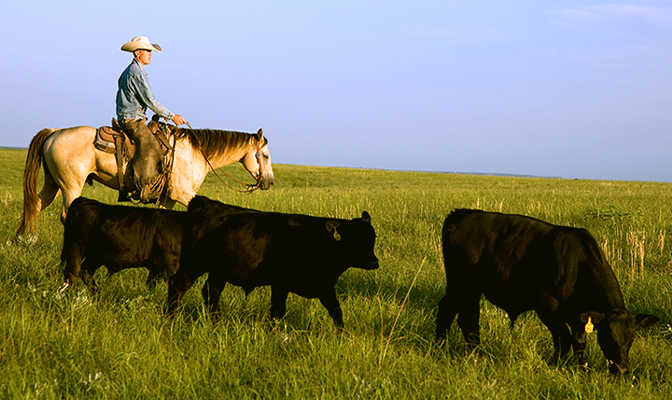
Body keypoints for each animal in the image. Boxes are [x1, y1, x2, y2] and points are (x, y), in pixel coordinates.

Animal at [61, 196, 251, 290]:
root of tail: (82, 201)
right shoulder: (170, 267)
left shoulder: (156, 268)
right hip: (76, 247)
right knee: (72, 273)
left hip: (96, 255)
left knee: (86, 272)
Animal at [167, 196, 379, 329]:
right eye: (353, 239)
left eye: (372, 238)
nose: (373, 262)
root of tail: (206, 203)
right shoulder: (280, 284)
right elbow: (277, 311)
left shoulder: (324, 287)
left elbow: (337, 312)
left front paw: (342, 336)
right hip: (194, 263)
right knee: (178, 285)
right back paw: (170, 320)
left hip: (219, 271)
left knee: (211, 293)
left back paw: (216, 322)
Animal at [435, 209, 659, 375]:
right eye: (605, 335)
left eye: (631, 337)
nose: (622, 369)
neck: (578, 265)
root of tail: (462, 214)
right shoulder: (547, 308)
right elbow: (563, 339)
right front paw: (554, 364)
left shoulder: (578, 316)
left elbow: (579, 342)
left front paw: (581, 369)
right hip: (462, 284)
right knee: (453, 312)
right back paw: (446, 349)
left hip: (469, 288)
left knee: (465, 317)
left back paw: (469, 352)